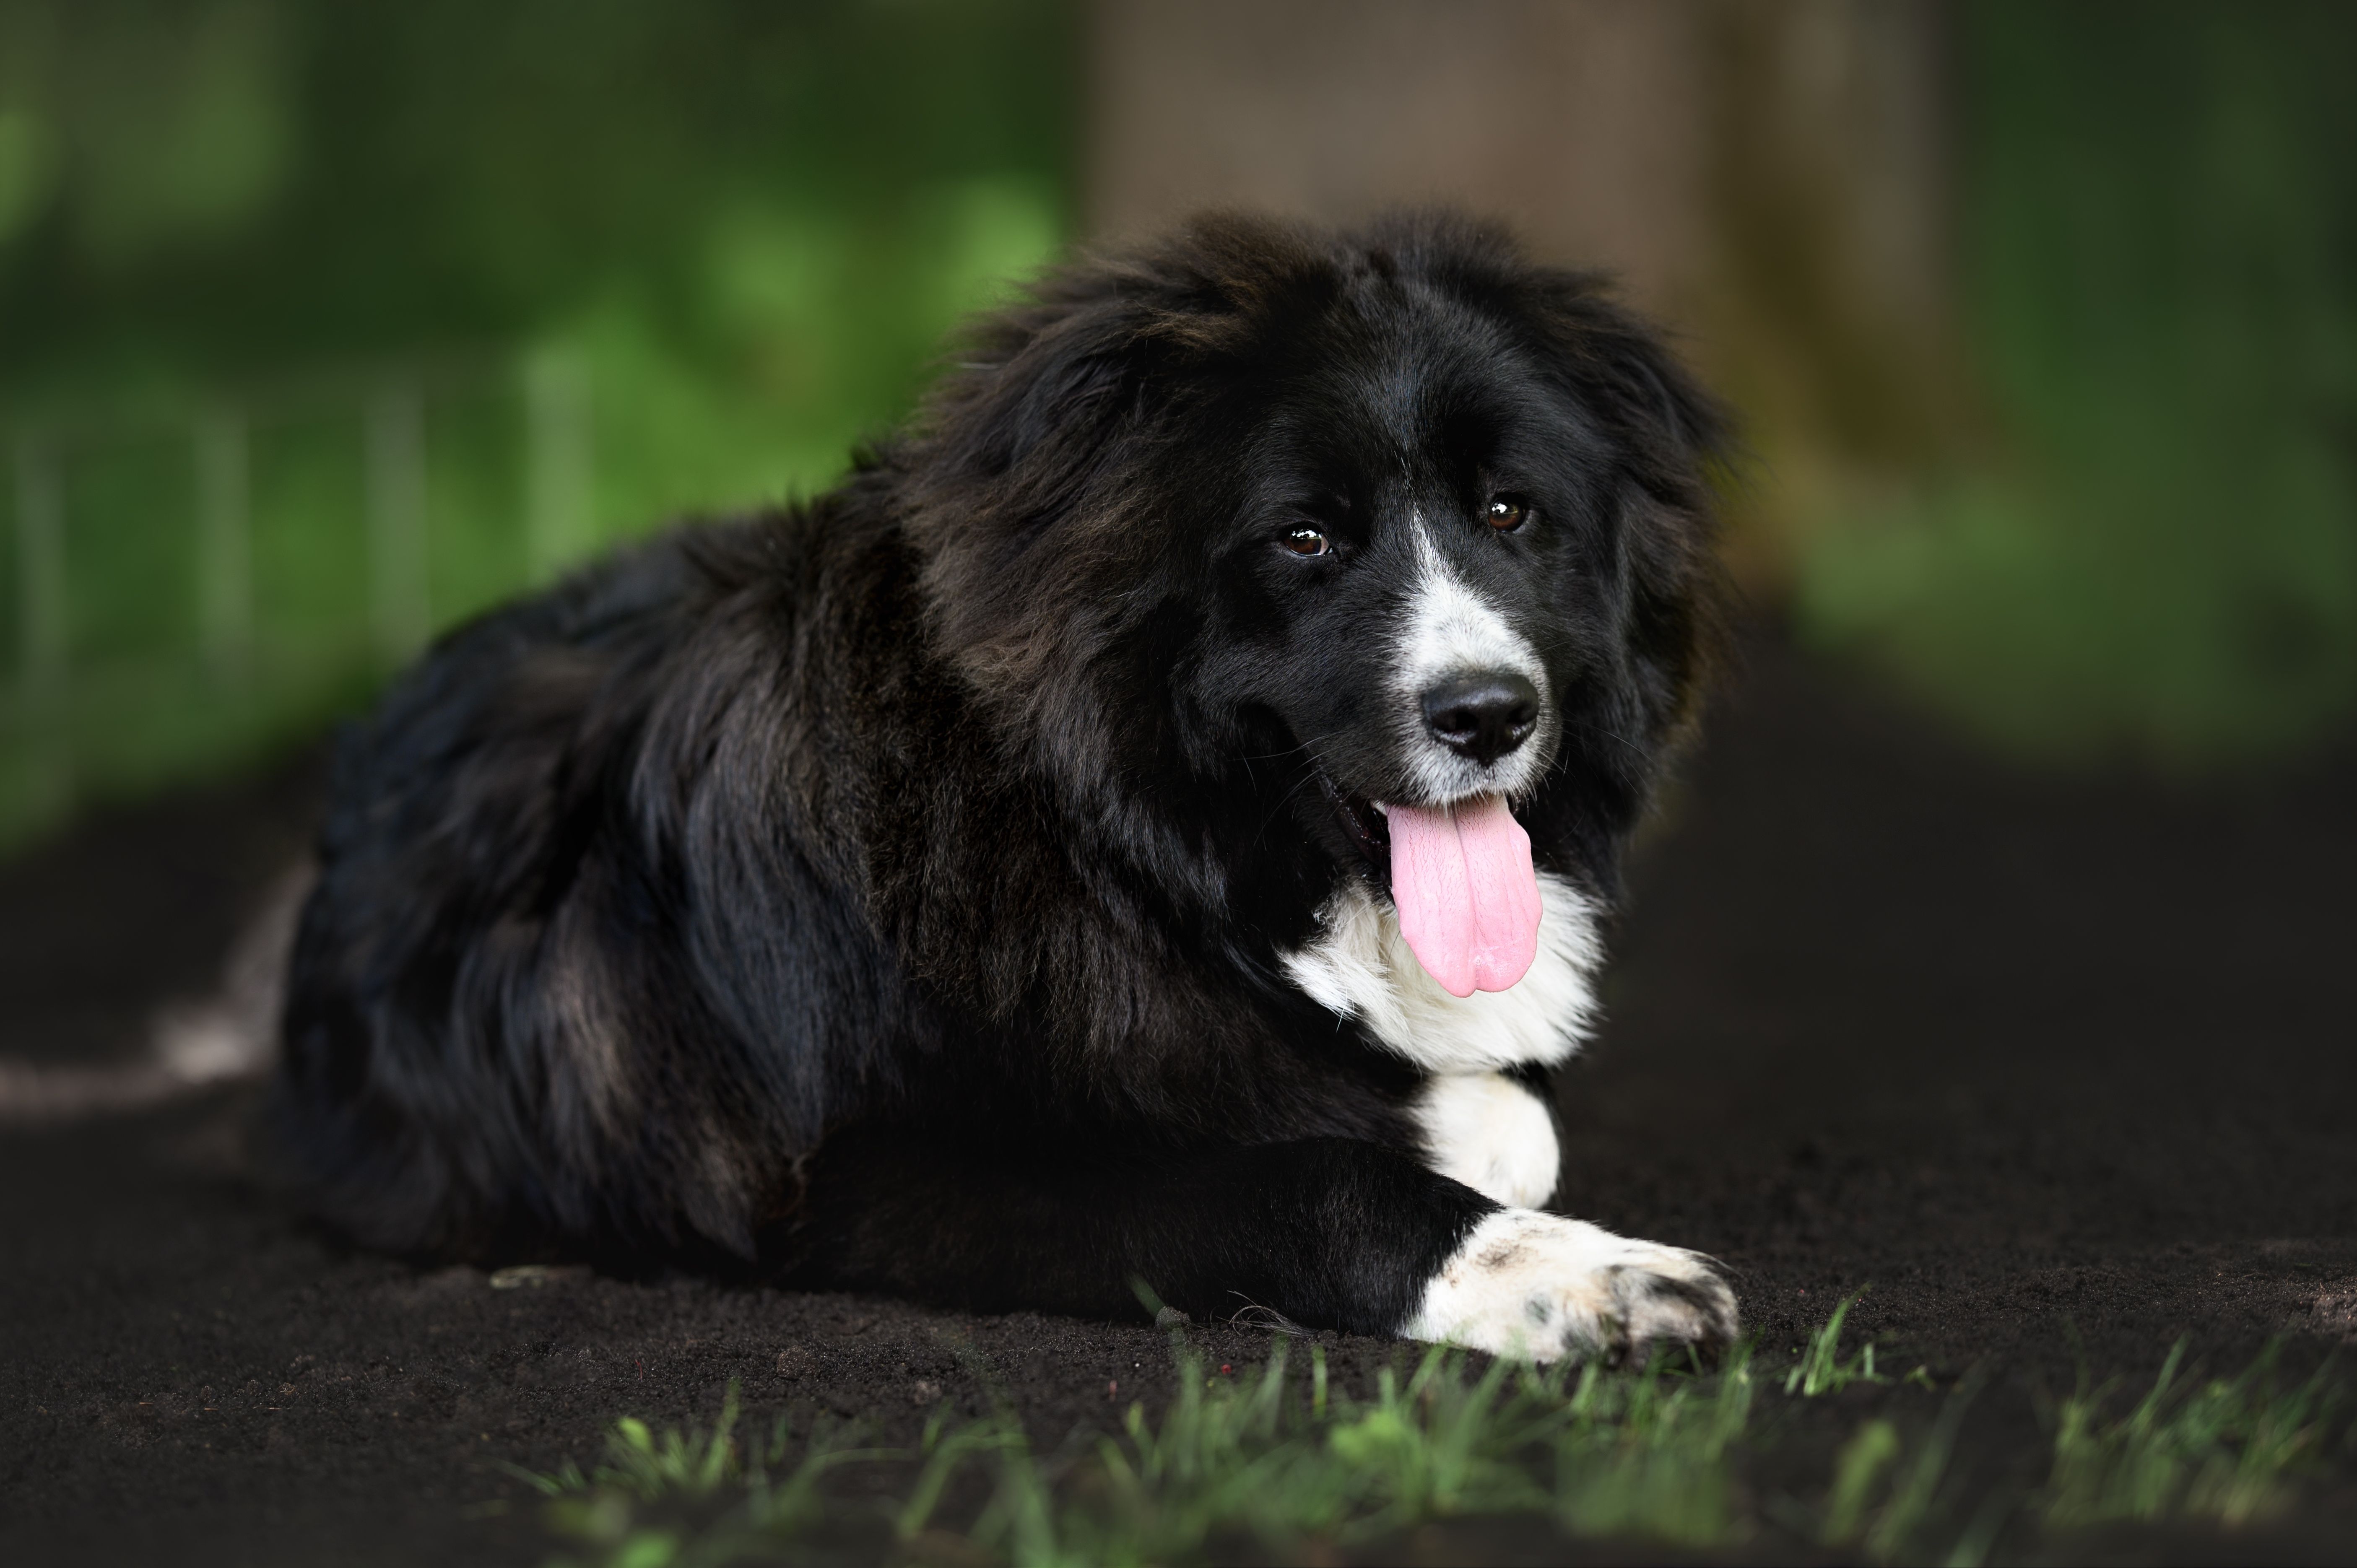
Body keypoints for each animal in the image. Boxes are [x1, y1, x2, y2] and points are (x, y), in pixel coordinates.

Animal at [267, 207, 1744, 1358]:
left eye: (1507, 511)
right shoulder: (880, 1175)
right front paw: (1590, 1278)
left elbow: (1505, 1121)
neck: (1116, 844)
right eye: (1303, 539)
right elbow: (1332, 1177)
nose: (1488, 712)